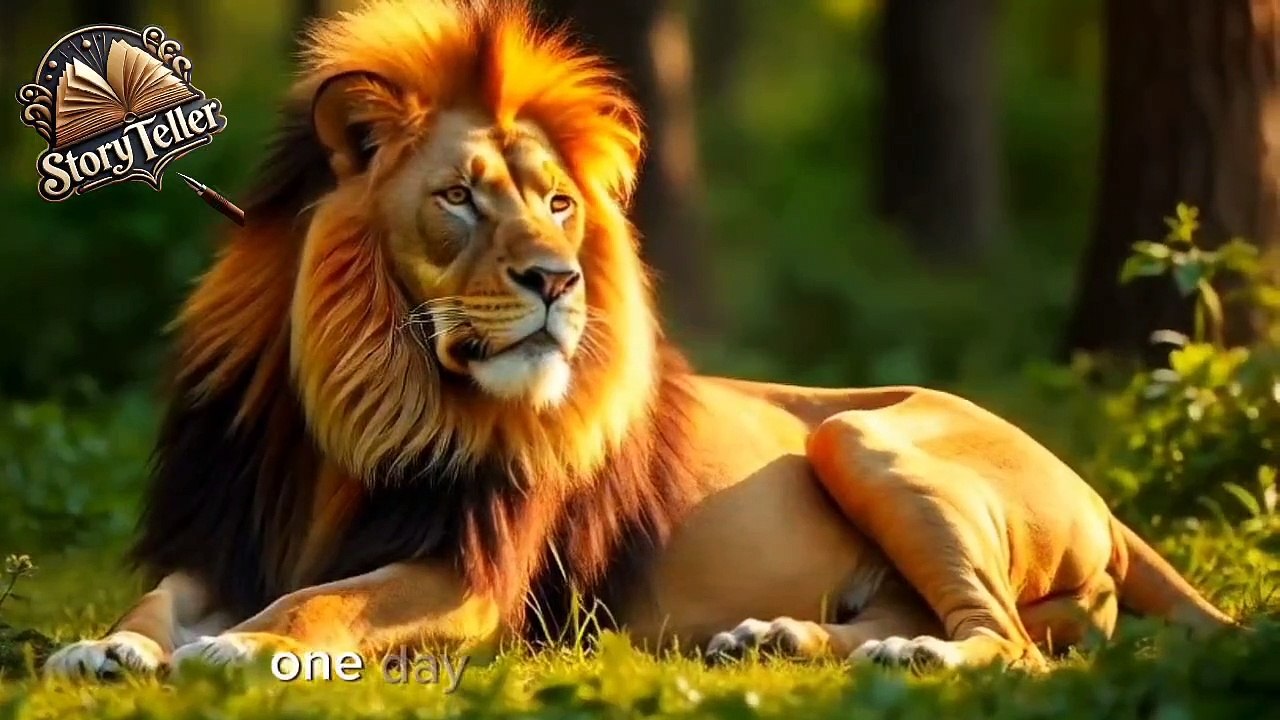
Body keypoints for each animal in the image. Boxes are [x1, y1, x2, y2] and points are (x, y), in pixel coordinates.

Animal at [44, 0, 1232, 679]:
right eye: (460, 200)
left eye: (559, 205)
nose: (557, 280)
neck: (351, 405)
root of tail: (1101, 498)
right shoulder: (225, 538)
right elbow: (156, 598)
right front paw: (106, 646)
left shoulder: (468, 578)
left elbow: (316, 599)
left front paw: (238, 646)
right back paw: (781, 641)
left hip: (861, 438)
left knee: (1015, 649)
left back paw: (911, 653)